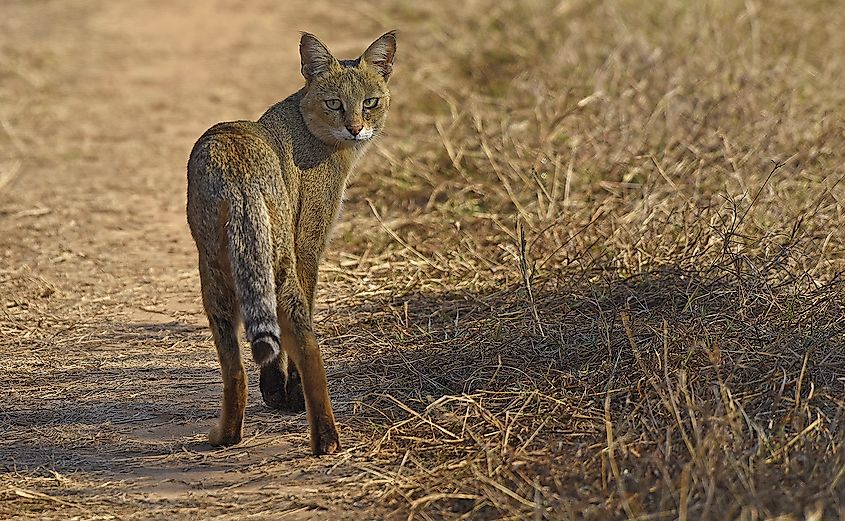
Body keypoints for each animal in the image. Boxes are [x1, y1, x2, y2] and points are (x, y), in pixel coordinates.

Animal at [186, 31, 398, 456]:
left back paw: (238, 436)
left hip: (231, 274)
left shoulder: (302, 250)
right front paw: (284, 394)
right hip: (251, 268)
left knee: (244, 364)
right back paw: (318, 439)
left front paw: (279, 393)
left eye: (370, 102)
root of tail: (242, 176)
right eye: (334, 103)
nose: (356, 128)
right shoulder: (310, 245)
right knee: (299, 344)